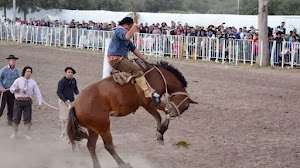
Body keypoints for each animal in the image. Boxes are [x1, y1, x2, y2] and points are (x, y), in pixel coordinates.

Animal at [68, 60, 199, 168]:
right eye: (186, 107)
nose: (174, 115)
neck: (159, 77)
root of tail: (75, 105)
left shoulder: (145, 104)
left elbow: (157, 116)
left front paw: (159, 134)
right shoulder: (151, 101)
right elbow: (165, 111)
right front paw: (162, 129)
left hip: (93, 129)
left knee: (91, 146)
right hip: (103, 126)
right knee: (108, 145)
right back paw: (124, 164)